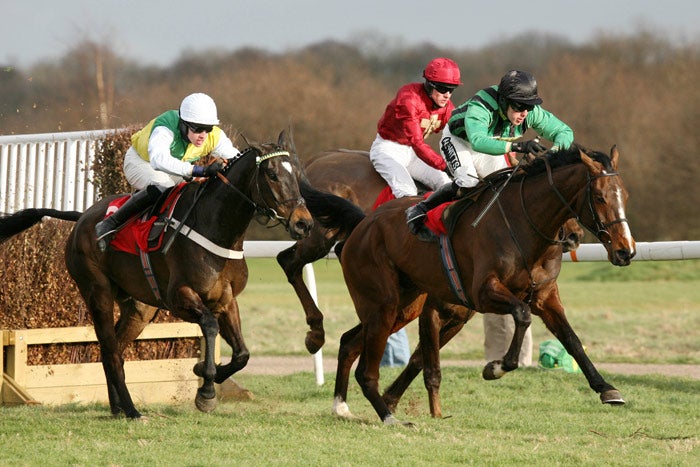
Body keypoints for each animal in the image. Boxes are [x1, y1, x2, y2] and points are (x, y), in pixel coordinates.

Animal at [0, 129, 312, 420]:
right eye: (272, 174)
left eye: (296, 174)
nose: (304, 223)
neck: (216, 228)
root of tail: (83, 217)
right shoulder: (180, 297)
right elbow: (209, 326)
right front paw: (206, 389)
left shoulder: (225, 299)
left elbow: (242, 355)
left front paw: (206, 373)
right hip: (97, 290)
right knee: (110, 350)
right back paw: (132, 410)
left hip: (139, 307)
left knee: (114, 349)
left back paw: (118, 408)